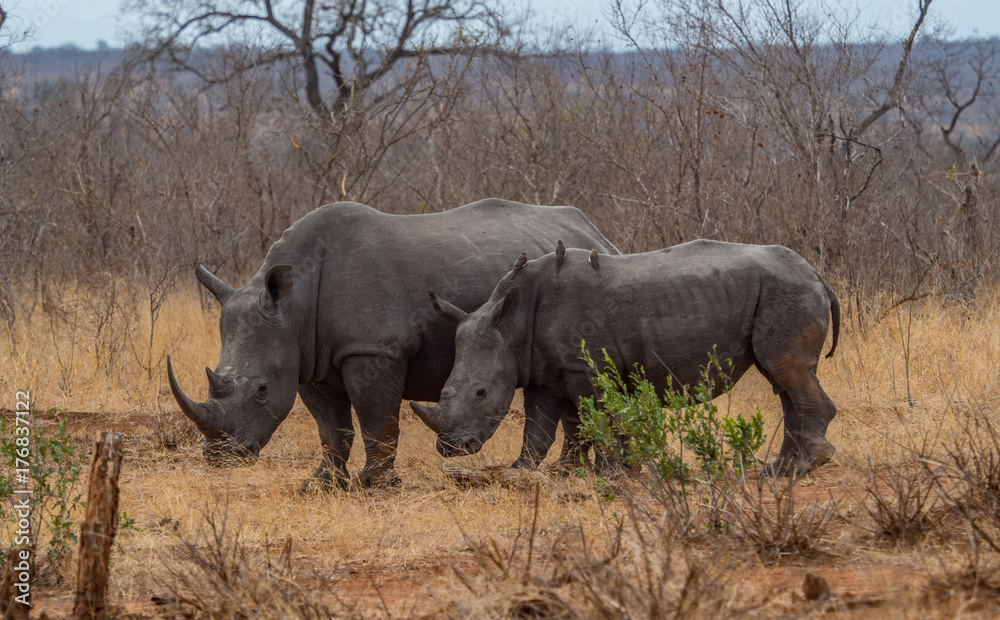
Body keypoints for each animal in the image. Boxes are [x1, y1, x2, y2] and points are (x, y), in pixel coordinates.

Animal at [166, 199, 618, 488]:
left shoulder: (373, 349)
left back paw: (570, 476)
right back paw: (567, 474)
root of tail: (597, 231)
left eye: (261, 390)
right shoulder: (306, 358)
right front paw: (321, 484)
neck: (293, 306)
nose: (221, 458)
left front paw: (376, 484)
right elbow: (331, 428)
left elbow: (376, 420)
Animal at [410, 240, 841, 476]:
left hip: (788, 291)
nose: (450, 449)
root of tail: (818, 277)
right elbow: (546, 427)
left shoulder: (586, 367)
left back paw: (805, 467)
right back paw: (778, 469)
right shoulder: (544, 370)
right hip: (783, 290)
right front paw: (534, 472)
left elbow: (594, 418)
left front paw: (612, 472)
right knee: (782, 380)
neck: (511, 322)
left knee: (787, 370)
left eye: (481, 394)